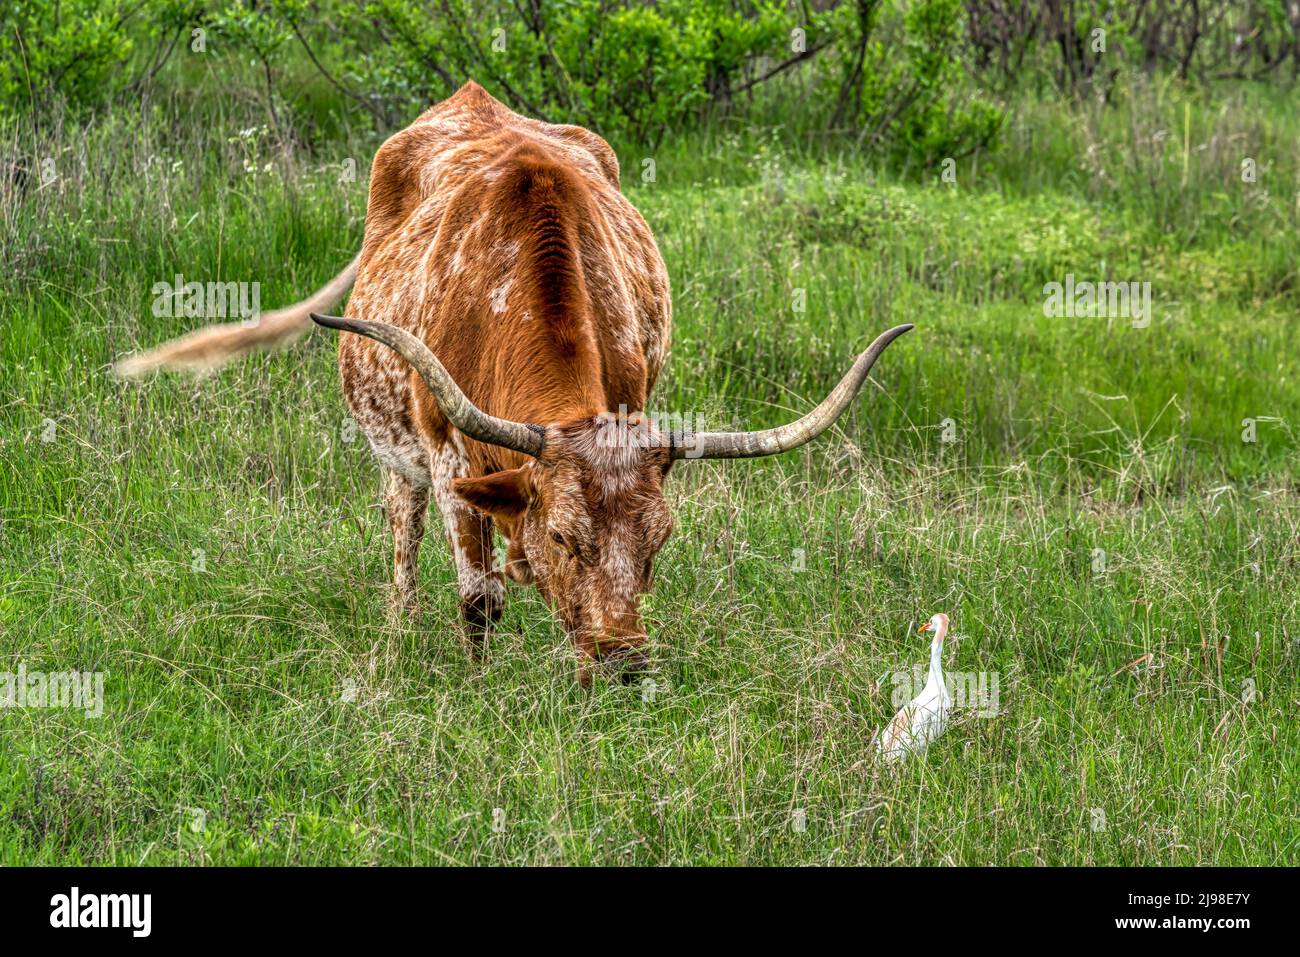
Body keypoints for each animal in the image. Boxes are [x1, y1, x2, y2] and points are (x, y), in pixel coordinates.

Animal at [119, 80, 915, 681]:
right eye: (565, 536)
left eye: (659, 540)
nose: (625, 664)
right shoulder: (449, 457)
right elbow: (478, 600)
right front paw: (478, 685)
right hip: (397, 455)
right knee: (403, 533)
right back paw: (400, 631)